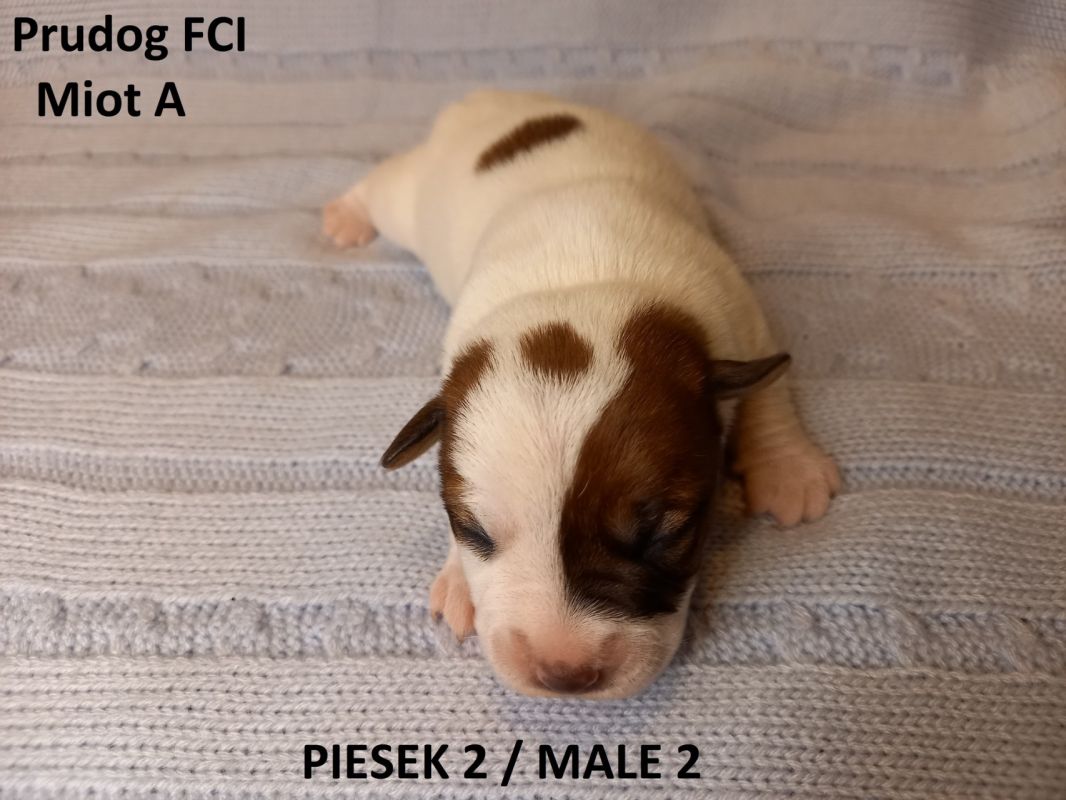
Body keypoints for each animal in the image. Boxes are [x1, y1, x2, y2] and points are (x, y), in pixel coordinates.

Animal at [323, 90, 840, 699]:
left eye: (664, 534)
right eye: (473, 531)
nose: (564, 674)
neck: (582, 283)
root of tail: (491, 100)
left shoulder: (740, 312)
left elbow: (768, 389)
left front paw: (788, 473)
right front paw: (457, 579)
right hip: (413, 197)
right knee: (381, 186)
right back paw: (344, 217)